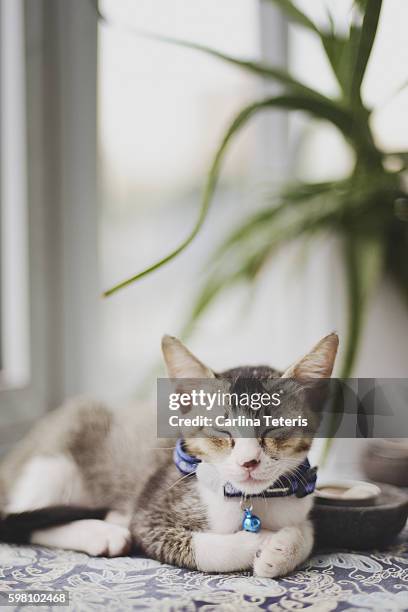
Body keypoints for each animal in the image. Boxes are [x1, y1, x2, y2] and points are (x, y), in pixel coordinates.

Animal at [0, 332, 338, 576]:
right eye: (222, 429)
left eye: (274, 427)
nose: (249, 462)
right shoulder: (151, 512)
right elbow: (206, 550)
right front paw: (260, 540)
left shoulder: (301, 498)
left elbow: (308, 530)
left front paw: (281, 549)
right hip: (59, 450)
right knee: (20, 520)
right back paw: (103, 531)